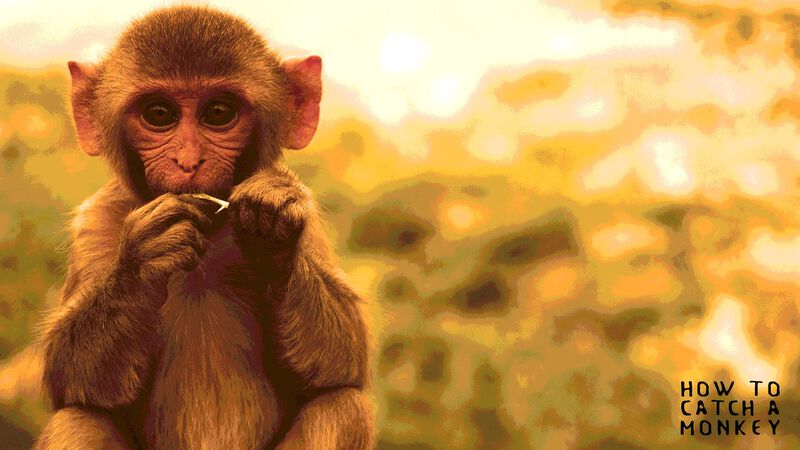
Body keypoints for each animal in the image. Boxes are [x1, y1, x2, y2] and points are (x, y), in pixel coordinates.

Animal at [34, 6, 373, 450]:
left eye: (218, 113)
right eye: (159, 114)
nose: (188, 161)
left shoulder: (309, 215)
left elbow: (345, 359)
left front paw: (274, 235)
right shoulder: (96, 221)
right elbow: (70, 376)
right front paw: (144, 258)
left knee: (343, 407)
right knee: (78, 421)